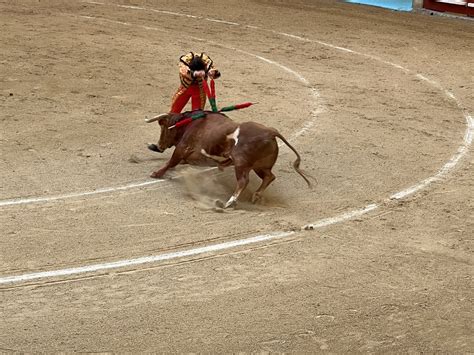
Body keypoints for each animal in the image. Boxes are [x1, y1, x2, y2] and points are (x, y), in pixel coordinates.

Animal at [146, 112, 312, 209]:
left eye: (164, 128)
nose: (158, 146)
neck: (189, 123)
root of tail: (270, 131)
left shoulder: (182, 148)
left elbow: (171, 161)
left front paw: (156, 173)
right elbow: (177, 163)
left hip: (241, 164)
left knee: (244, 181)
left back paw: (230, 202)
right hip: (259, 166)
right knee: (269, 176)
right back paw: (256, 196)